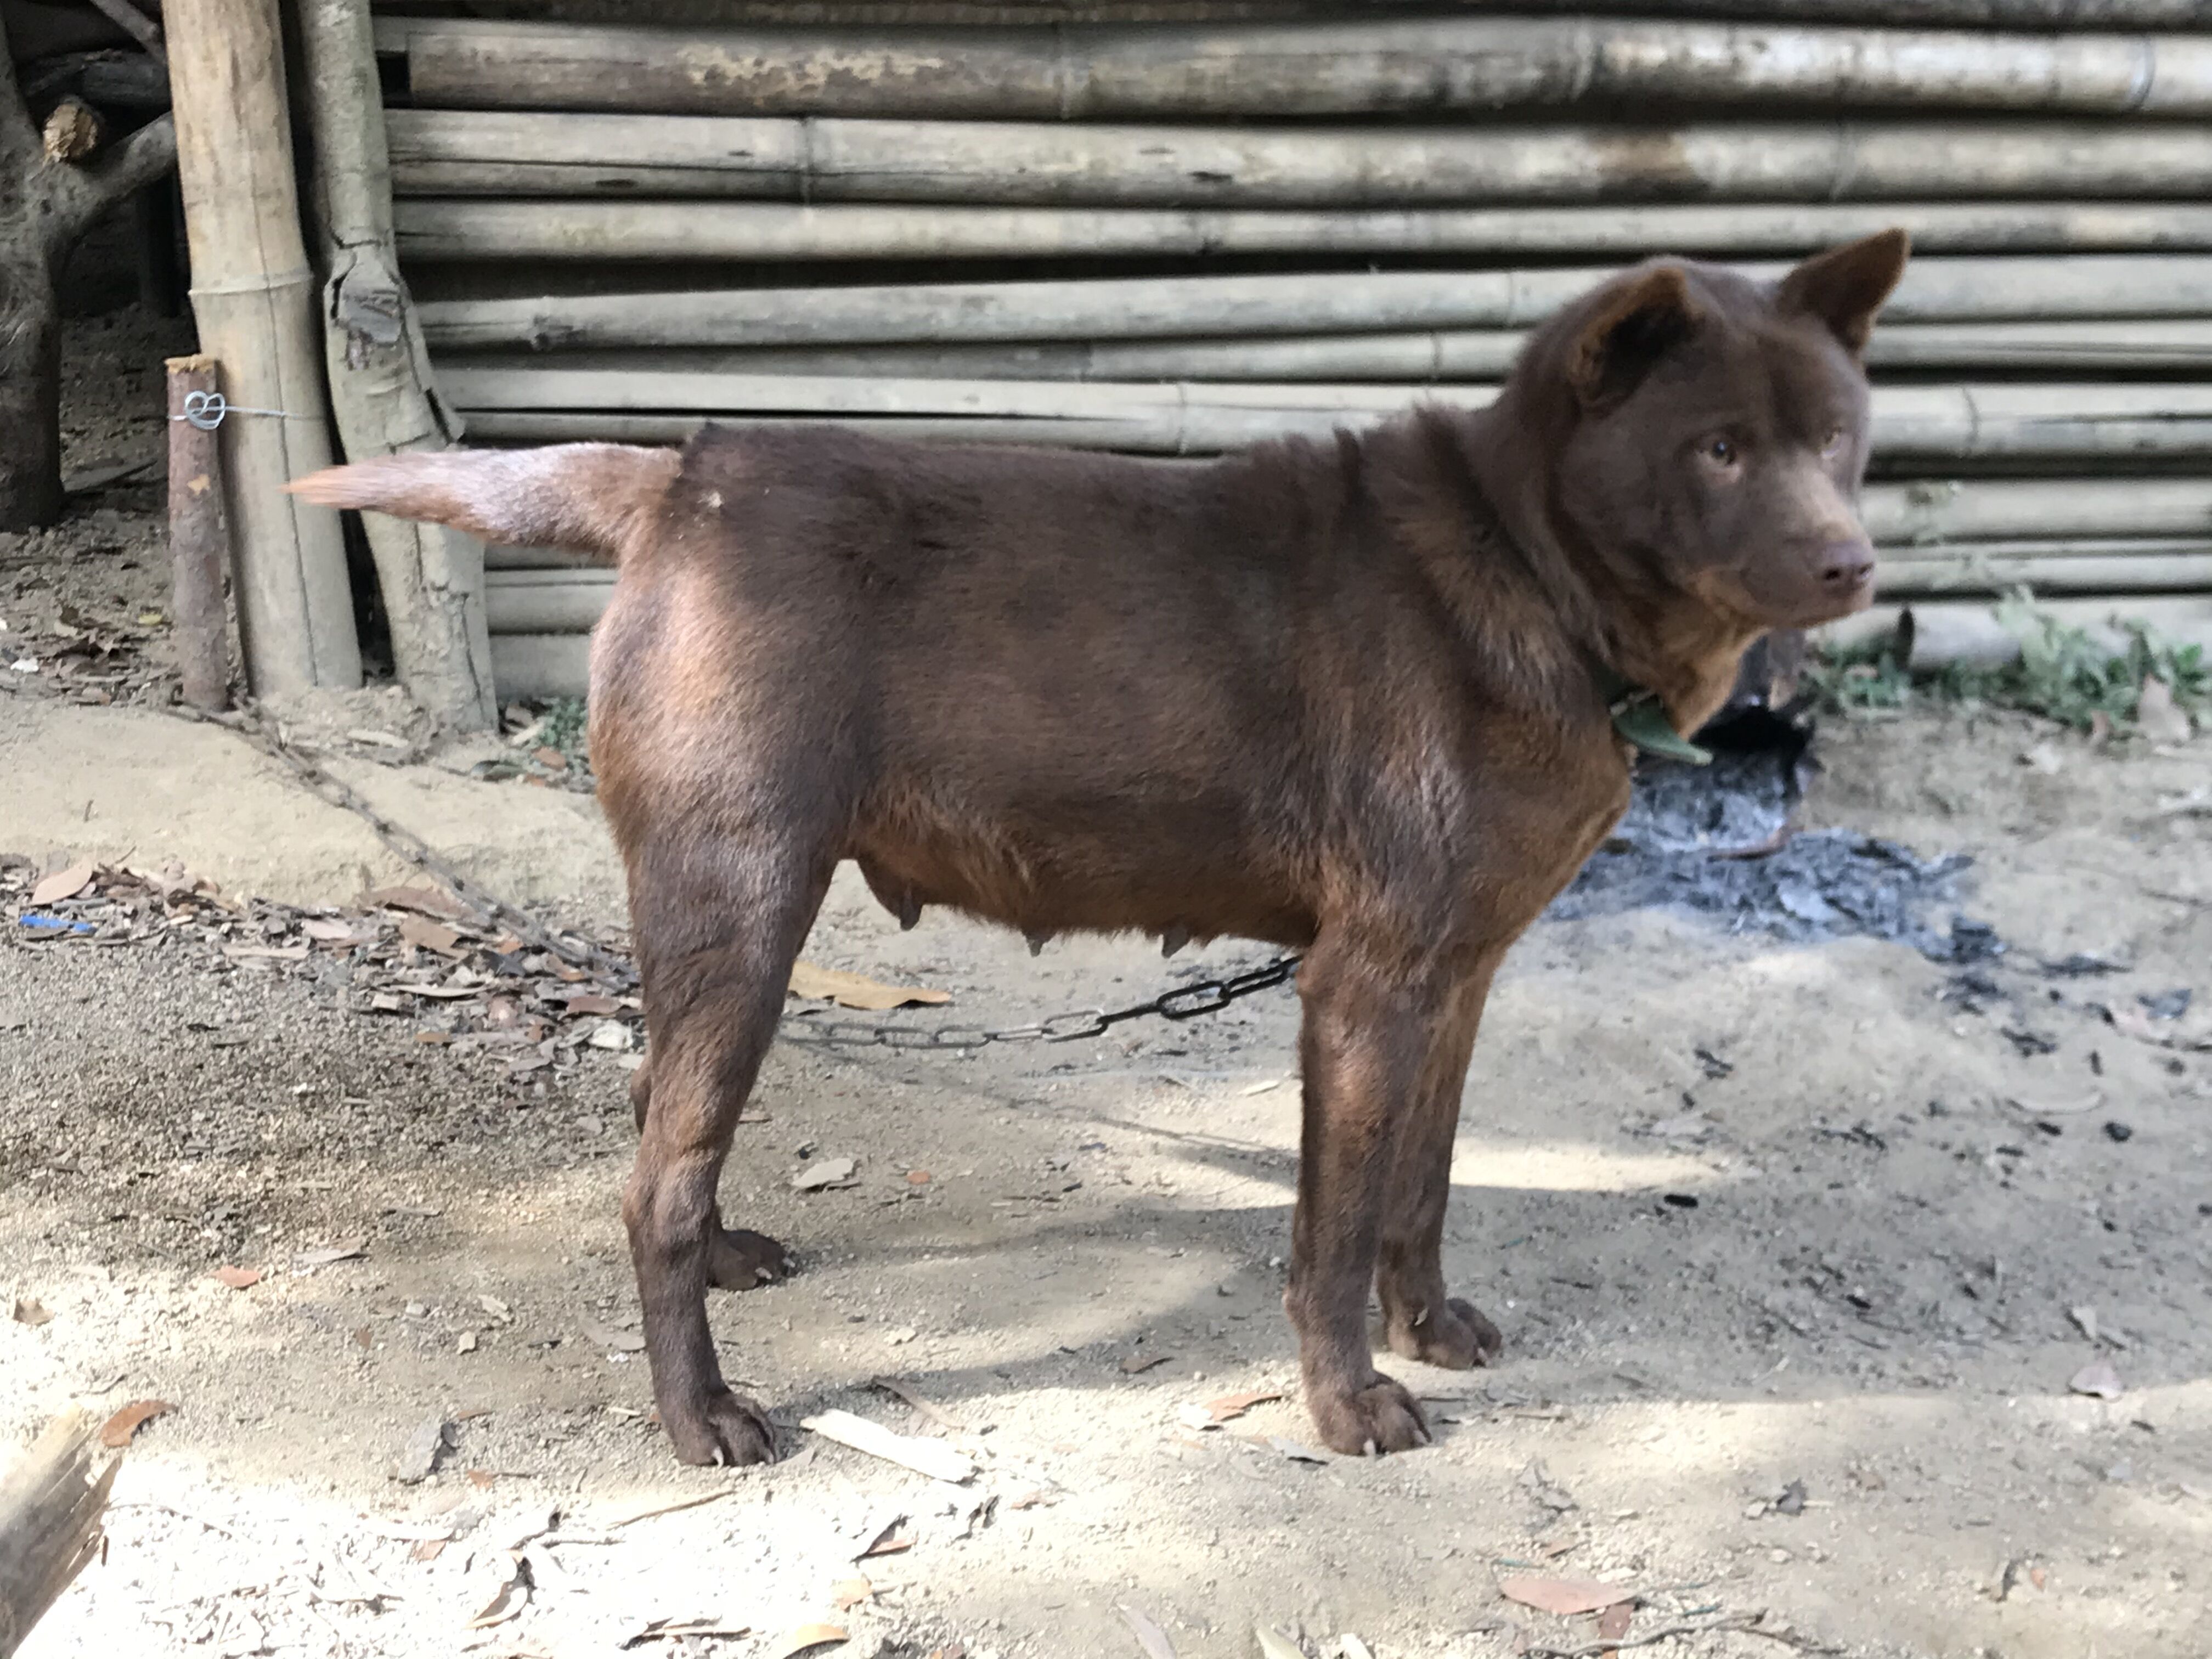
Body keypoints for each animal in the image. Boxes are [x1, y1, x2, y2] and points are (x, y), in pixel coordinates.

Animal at [303, 231, 1911, 1469]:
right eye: (1718, 448)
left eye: (1837, 441)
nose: (1855, 565)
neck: (1529, 570)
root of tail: (676, 479)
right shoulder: (1364, 988)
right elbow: (1332, 1230)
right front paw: (1347, 1403)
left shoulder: (1457, 978)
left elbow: (1425, 1185)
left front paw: (1431, 1327)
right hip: (743, 901)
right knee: (656, 1179)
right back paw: (702, 1418)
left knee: (659, 1121)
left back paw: (729, 1256)